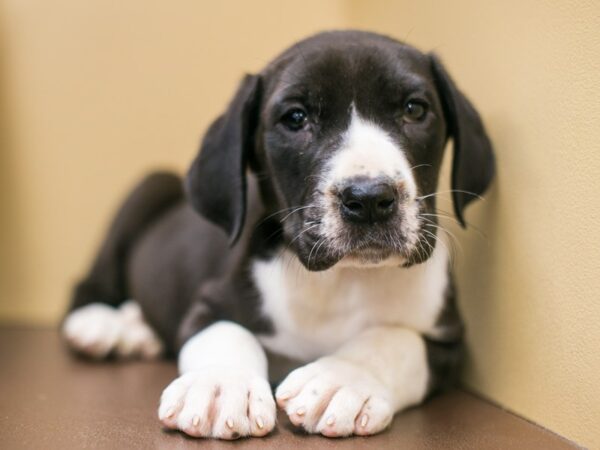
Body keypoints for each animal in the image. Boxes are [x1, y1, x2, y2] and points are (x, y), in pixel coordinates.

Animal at [62, 31, 492, 440]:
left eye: (414, 109)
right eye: (296, 118)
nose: (369, 198)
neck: (344, 279)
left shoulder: (451, 342)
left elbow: (396, 341)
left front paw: (342, 379)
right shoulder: (208, 302)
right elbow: (227, 332)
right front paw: (221, 386)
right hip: (147, 187)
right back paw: (101, 322)